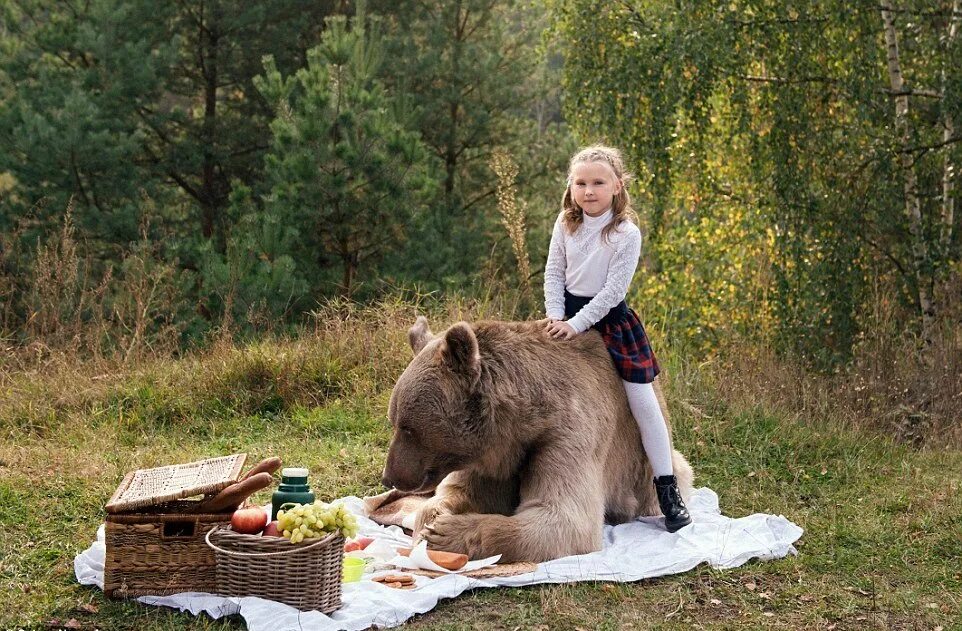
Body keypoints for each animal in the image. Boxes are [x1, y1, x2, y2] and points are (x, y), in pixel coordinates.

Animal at [378, 316, 692, 564]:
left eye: (407, 428)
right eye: (394, 420)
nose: (389, 477)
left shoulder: (566, 433)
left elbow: (563, 517)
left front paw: (444, 534)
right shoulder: (489, 458)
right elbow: (460, 492)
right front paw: (432, 521)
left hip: (643, 469)